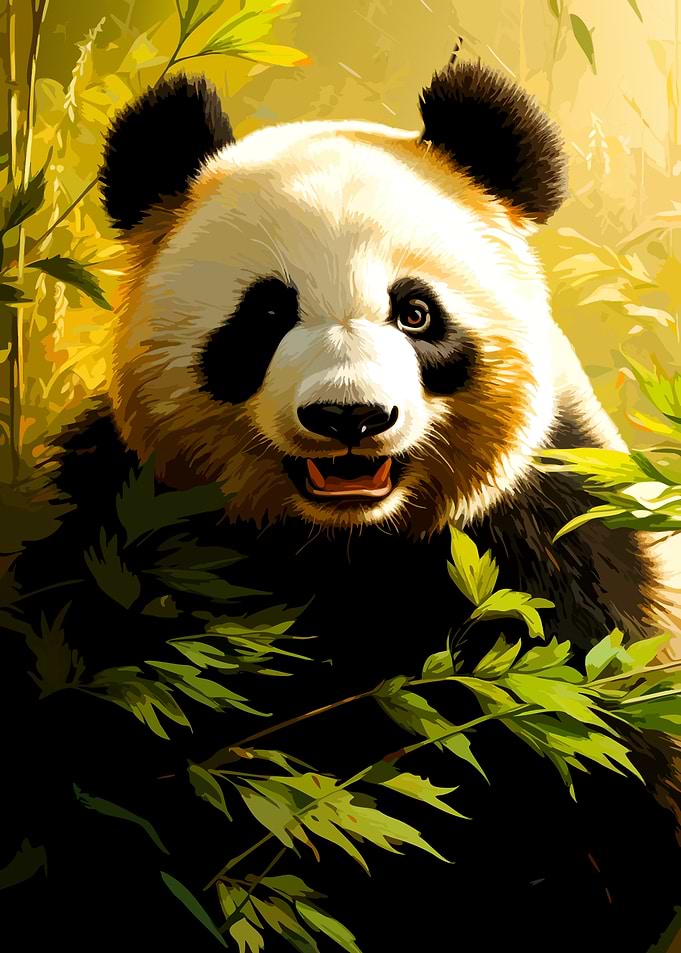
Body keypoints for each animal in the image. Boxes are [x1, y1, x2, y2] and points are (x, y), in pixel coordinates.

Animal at [7, 61, 681, 952]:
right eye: (264, 312)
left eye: (416, 312)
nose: (349, 417)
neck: (346, 544)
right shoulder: (125, 537)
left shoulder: (551, 558)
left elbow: (589, 780)